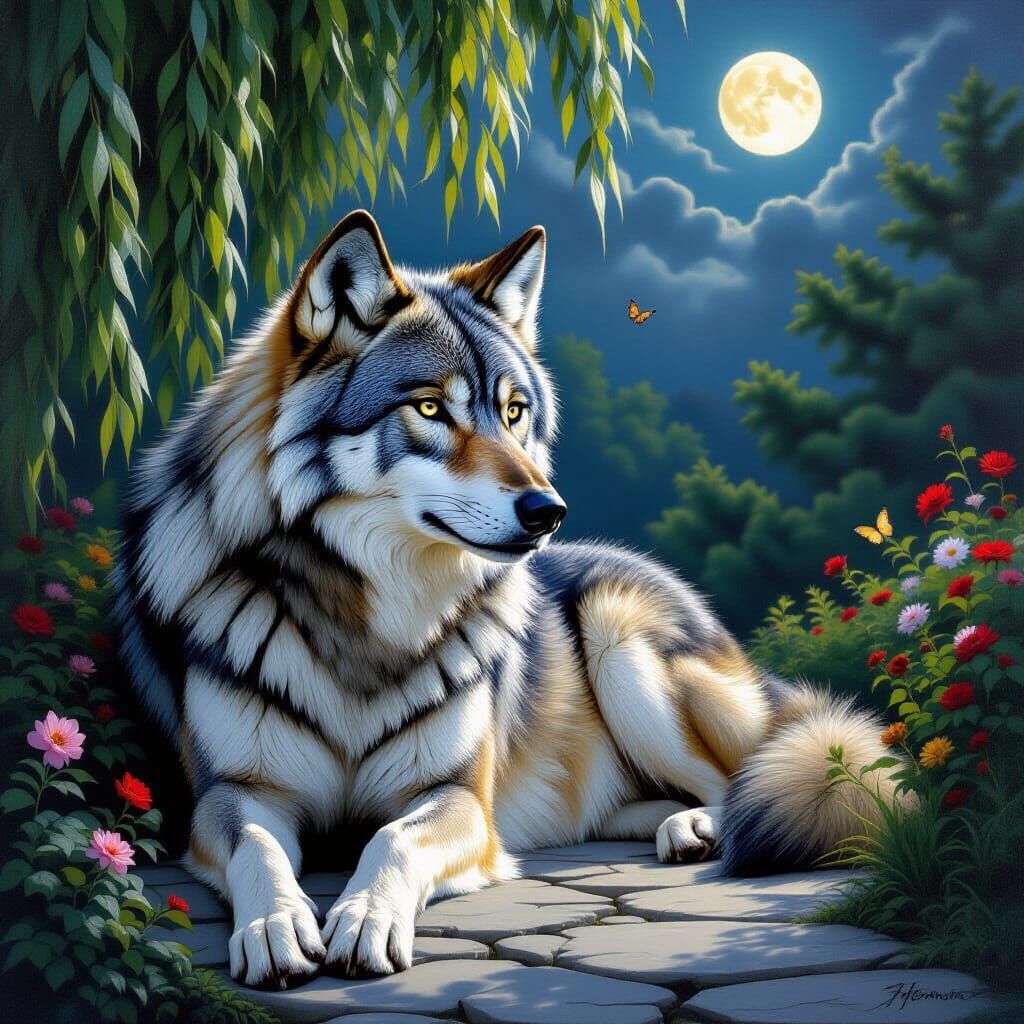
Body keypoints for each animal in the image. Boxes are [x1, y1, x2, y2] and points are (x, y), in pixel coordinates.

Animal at [114, 210, 904, 988]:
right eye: (430, 407)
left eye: (515, 411)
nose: (548, 511)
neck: (371, 620)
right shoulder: (232, 792)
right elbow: (258, 846)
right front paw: (276, 926)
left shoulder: (459, 795)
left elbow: (392, 839)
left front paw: (364, 916)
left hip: (623, 644)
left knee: (743, 779)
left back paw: (702, 829)